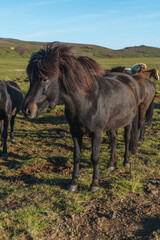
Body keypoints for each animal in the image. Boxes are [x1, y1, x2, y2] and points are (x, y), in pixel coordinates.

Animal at [23, 43, 139, 192]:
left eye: (44, 78)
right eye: (31, 79)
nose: (27, 110)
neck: (86, 102)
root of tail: (129, 79)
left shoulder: (96, 133)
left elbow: (95, 157)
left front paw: (95, 184)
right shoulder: (75, 132)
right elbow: (76, 156)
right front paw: (73, 183)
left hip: (129, 121)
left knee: (127, 139)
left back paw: (126, 161)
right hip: (111, 125)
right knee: (113, 139)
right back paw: (111, 164)